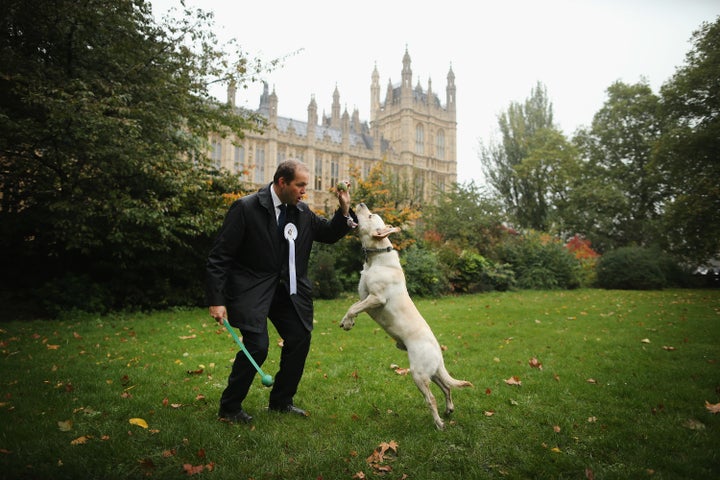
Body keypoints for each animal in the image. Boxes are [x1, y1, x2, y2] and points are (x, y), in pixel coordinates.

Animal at [342, 201, 476, 430]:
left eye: (369, 216)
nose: (360, 203)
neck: (377, 257)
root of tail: (439, 353)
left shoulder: (376, 298)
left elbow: (354, 307)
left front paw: (348, 322)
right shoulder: (365, 296)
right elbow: (354, 305)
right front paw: (347, 321)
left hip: (418, 373)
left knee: (431, 398)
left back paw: (439, 423)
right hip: (431, 372)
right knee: (447, 387)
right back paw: (448, 410)